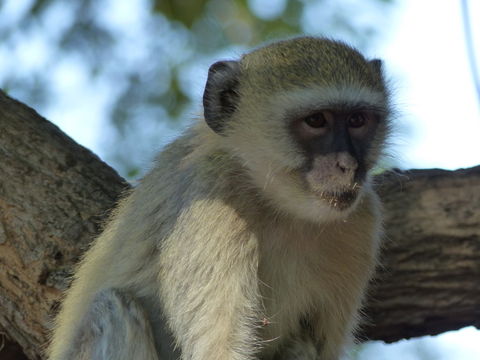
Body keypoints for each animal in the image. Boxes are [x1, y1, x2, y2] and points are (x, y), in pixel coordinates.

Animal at [48, 37, 394, 360]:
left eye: (357, 121)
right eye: (317, 121)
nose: (347, 165)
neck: (278, 206)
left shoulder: (363, 220)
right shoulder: (212, 198)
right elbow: (217, 350)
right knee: (112, 308)